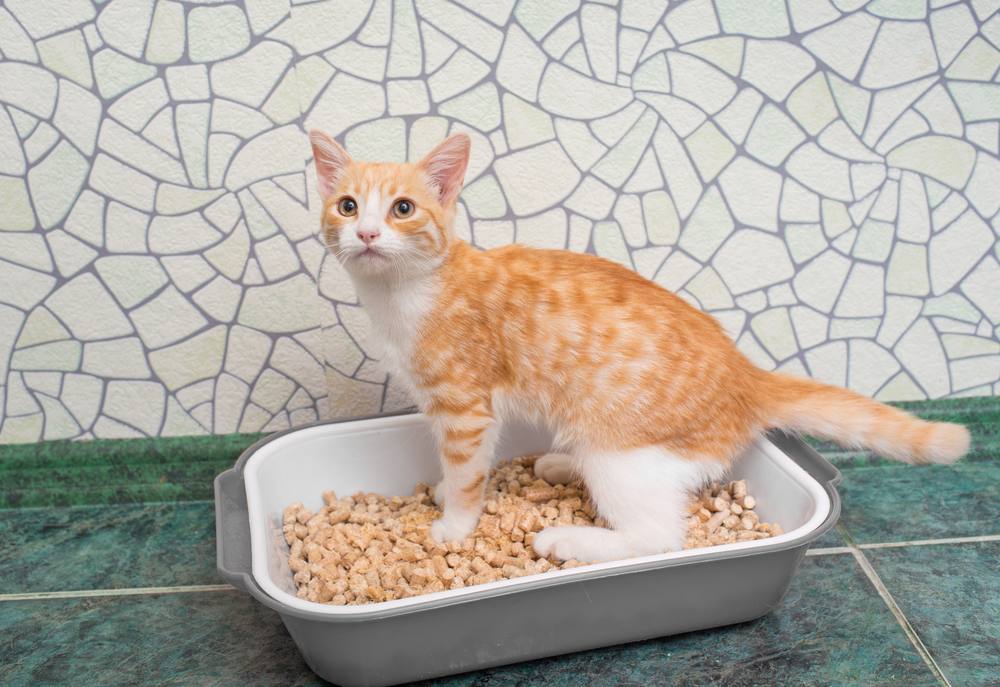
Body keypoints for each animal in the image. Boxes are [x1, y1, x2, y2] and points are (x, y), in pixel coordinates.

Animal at [310, 130, 968, 564]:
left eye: (402, 209)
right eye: (347, 206)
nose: (366, 233)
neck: (403, 296)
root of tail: (746, 373)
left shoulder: (465, 408)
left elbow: (468, 470)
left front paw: (455, 522)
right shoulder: (464, 409)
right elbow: (463, 465)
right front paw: (447, 495)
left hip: (620, 452)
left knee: (657, 537)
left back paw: (570, 539)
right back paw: (558, 463)